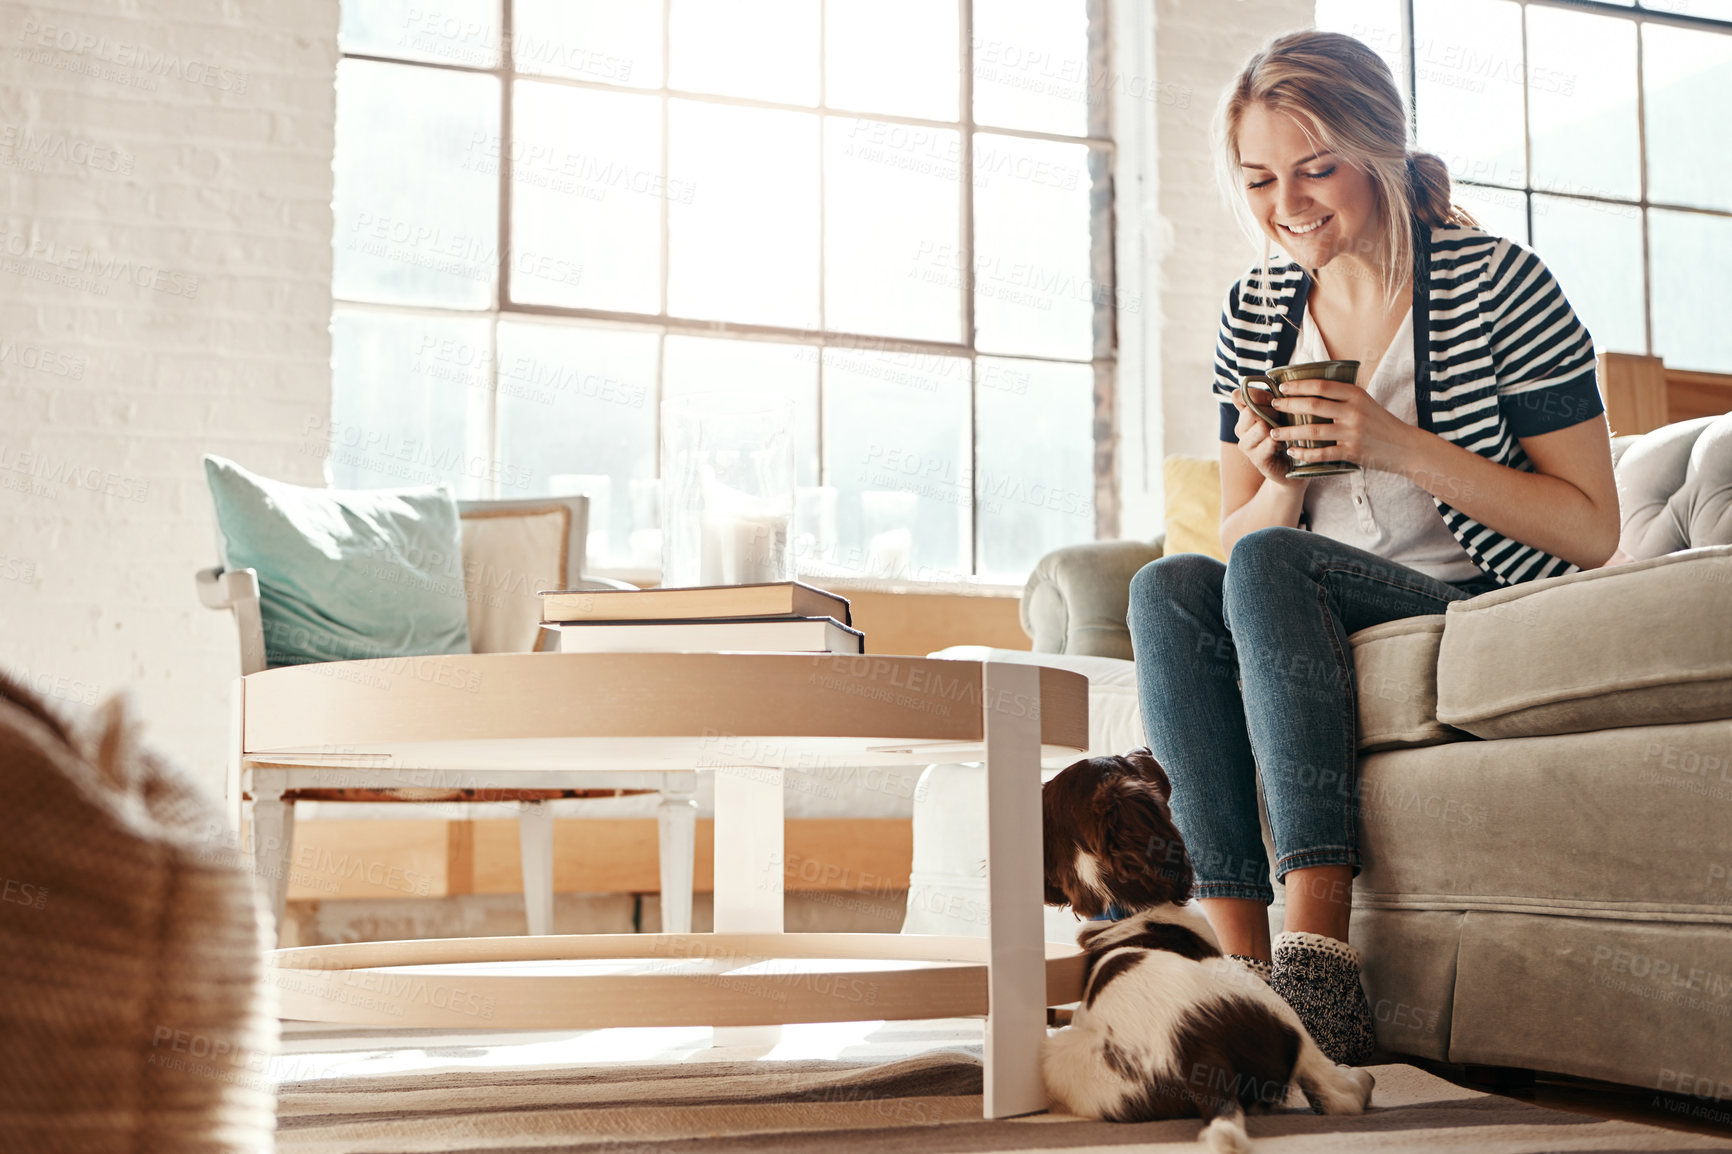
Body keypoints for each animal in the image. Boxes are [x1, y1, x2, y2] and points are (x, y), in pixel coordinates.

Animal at [1032, 745, 1371, 1150]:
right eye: (1127, 763)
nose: (1146, 749)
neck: (1121, 909)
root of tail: (1197, 1057)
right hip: (1272, 1006)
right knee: (1335, 1092)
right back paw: (1358, 1080)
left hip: (1058, 1056)